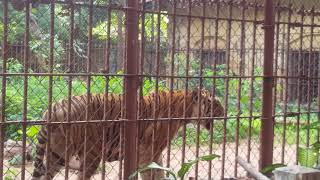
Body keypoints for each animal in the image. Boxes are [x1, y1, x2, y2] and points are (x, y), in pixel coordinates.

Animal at [31, 89, 224, 180]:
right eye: (214, 102)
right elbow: (150, 175)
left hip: (57, 154)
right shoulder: (147, 153)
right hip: (90, 154)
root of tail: (54, 108)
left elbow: (159, 173)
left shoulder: (155, 155)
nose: (225, 111)